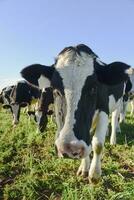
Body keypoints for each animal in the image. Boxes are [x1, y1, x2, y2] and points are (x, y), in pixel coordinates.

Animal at [20, 43, 134, 183]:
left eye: (93, 88)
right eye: (56, 90)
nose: (70, 149)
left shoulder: (103, 108)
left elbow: (97, 144)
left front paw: (94, 174)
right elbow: (88, 143)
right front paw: (84, 168)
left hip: (120, 102)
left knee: (114, 119)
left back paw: (113, 137)